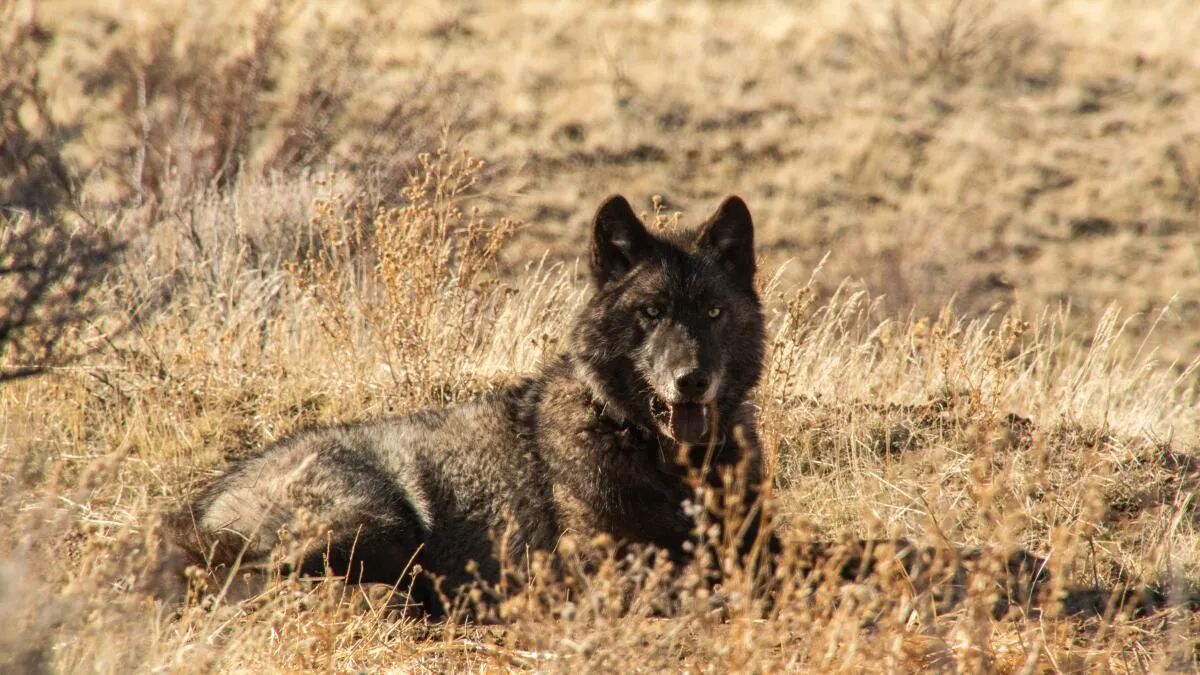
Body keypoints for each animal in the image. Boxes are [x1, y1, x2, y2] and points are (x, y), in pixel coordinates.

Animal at [177, 194, 774, 616]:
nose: (692, 380)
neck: (670, 466)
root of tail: (203, 501)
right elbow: (690, 585)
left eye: (714, 312)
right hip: (380, 521)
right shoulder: (594, 569)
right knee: (257, 581)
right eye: (651, 312)